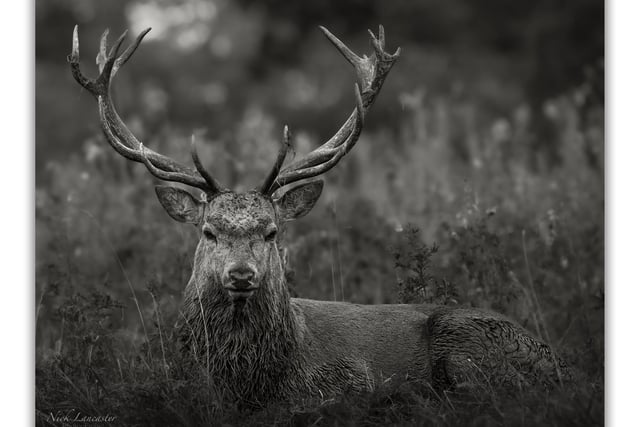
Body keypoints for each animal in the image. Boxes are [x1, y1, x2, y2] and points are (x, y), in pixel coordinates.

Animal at [70, 25, 568, 406]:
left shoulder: (349, 379)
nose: (241, 274)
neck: (250, 379)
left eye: (272, 232)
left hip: (470, 345)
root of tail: (558, 362)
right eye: (209, 231)